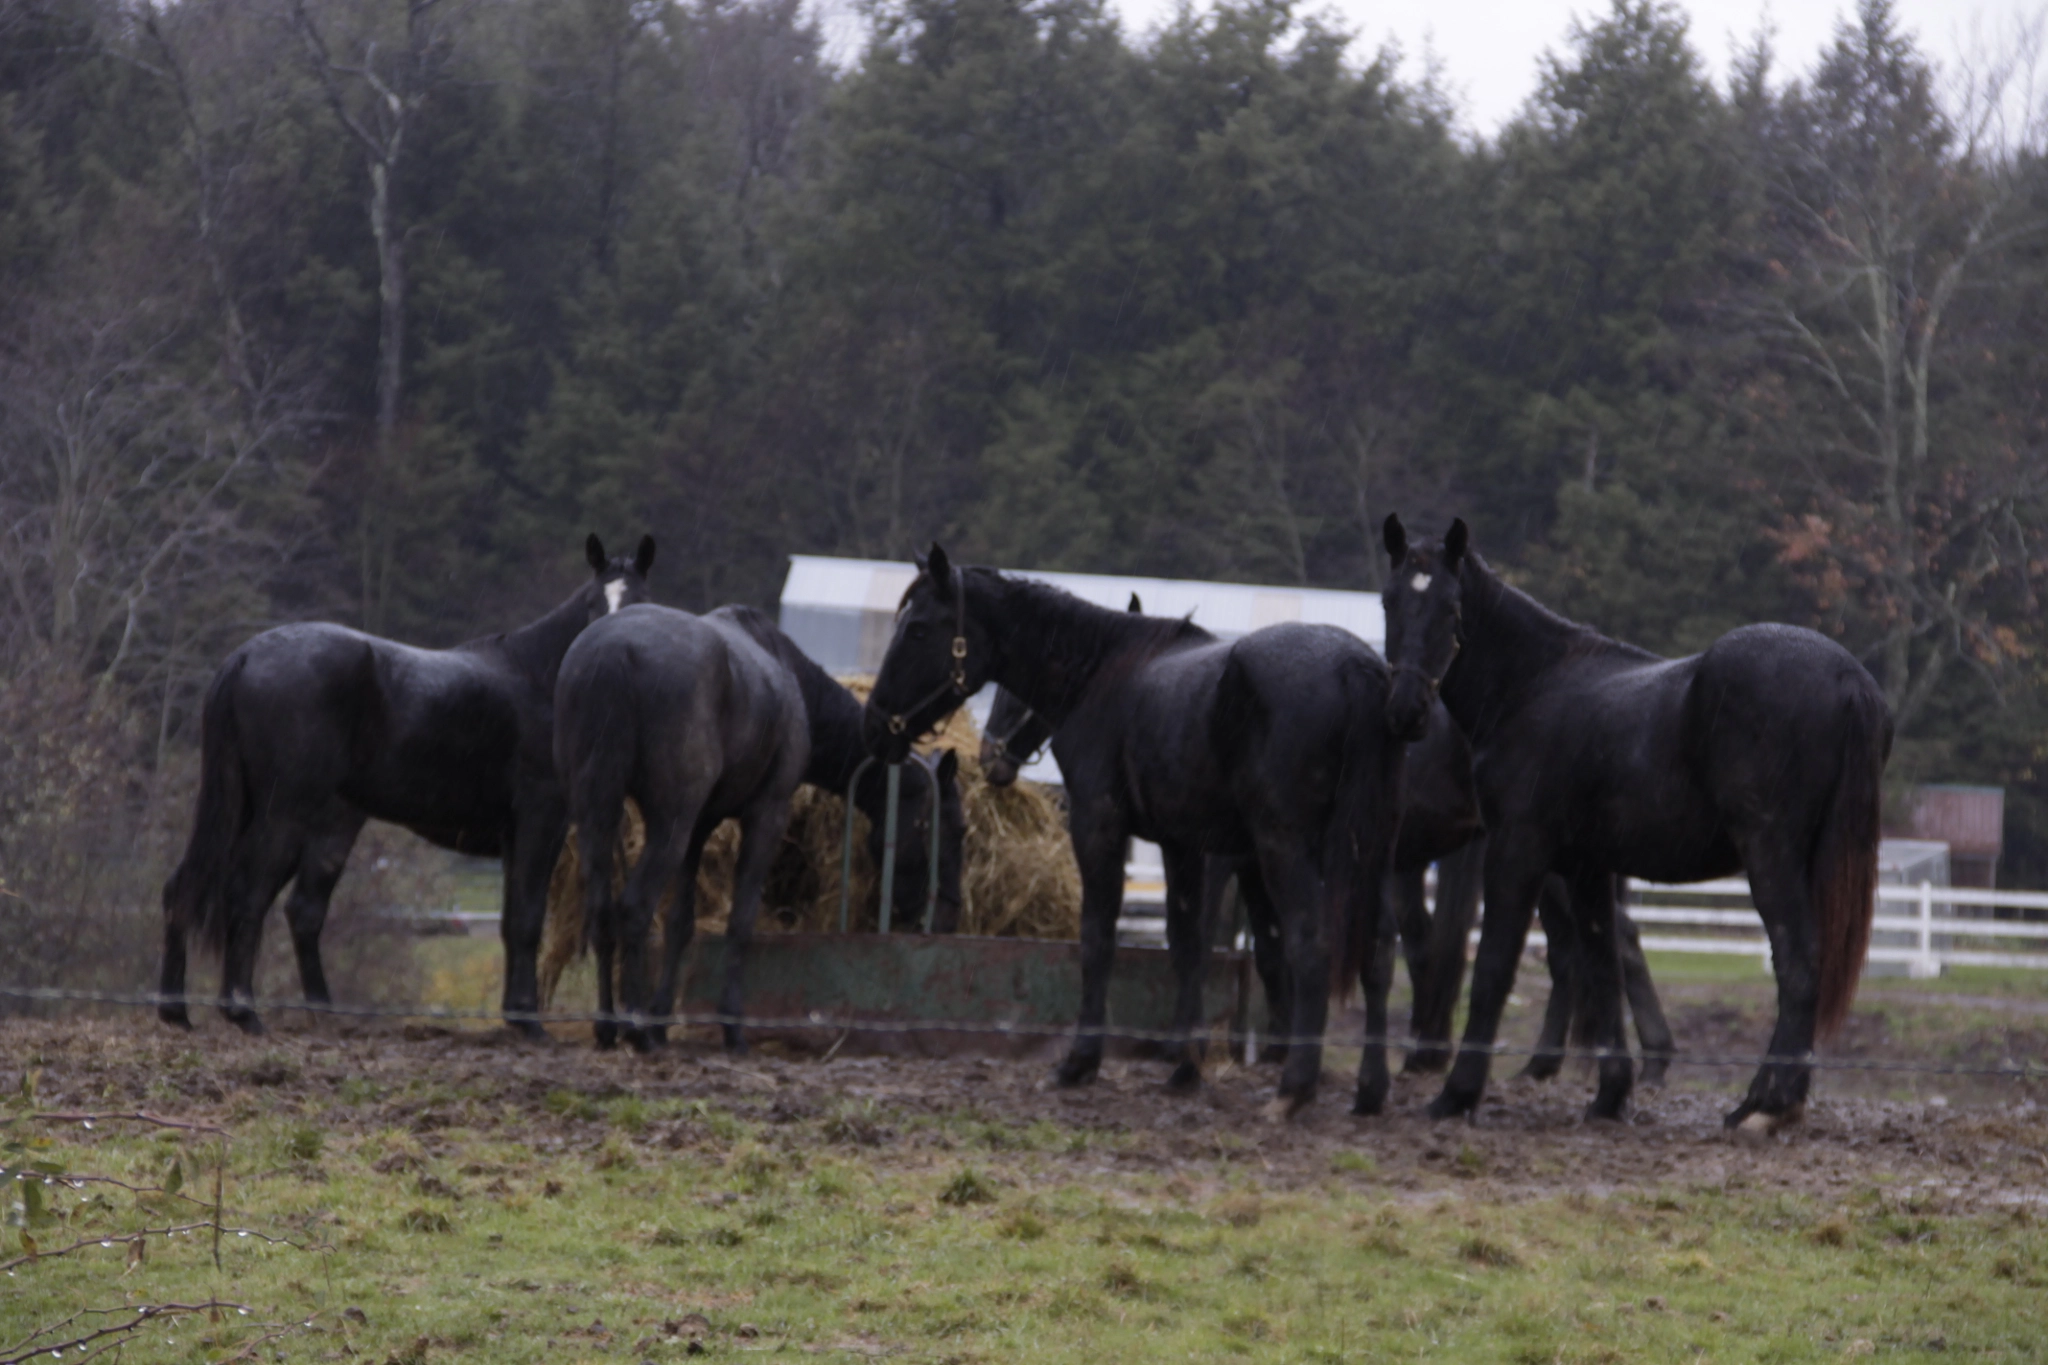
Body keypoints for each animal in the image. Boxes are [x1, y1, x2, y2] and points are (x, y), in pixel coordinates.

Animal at [158, 533, 656, 1036]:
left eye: (639, 601)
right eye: (593, 603)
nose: (610, 646)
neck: (539, 678)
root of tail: (245, 658)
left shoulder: (516, 836)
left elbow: (511, 922)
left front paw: (515, 1017)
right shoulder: (541, 821)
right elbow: (528, 919)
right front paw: (528, 1021)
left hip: (285, 819)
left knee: (222, 896)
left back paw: (186, 1009)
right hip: (283, 814)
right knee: (248, 896)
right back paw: (243, 1010)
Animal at [864, 545, 1407, 1117]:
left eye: (918, 629)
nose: (875, 724)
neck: (1102, 674)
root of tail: (1355, 666)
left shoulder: (1098, 826)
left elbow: (1099, 936)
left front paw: (1080, 1062)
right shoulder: (1182, 845)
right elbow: (1186, 944)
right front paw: (1185, 1067)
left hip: (1288, 850)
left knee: (1310, 943)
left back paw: (1295, 1087)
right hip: (1371, 852)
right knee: (1377, 950)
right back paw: (1370, 1089)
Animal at [1380, 515, 1891, 1130]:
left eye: (1451, 608)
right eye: (1389, 601)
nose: (1407, 710)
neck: (1533, 684)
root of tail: (1848, 678)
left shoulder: (1517, 851)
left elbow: (1494, 970)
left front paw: (1456, 1094)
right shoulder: (1586, 867)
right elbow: (1602, 969)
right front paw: (1610, 1095)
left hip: (1770, 853)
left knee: (1797, 963)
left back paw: (1766, 1105)